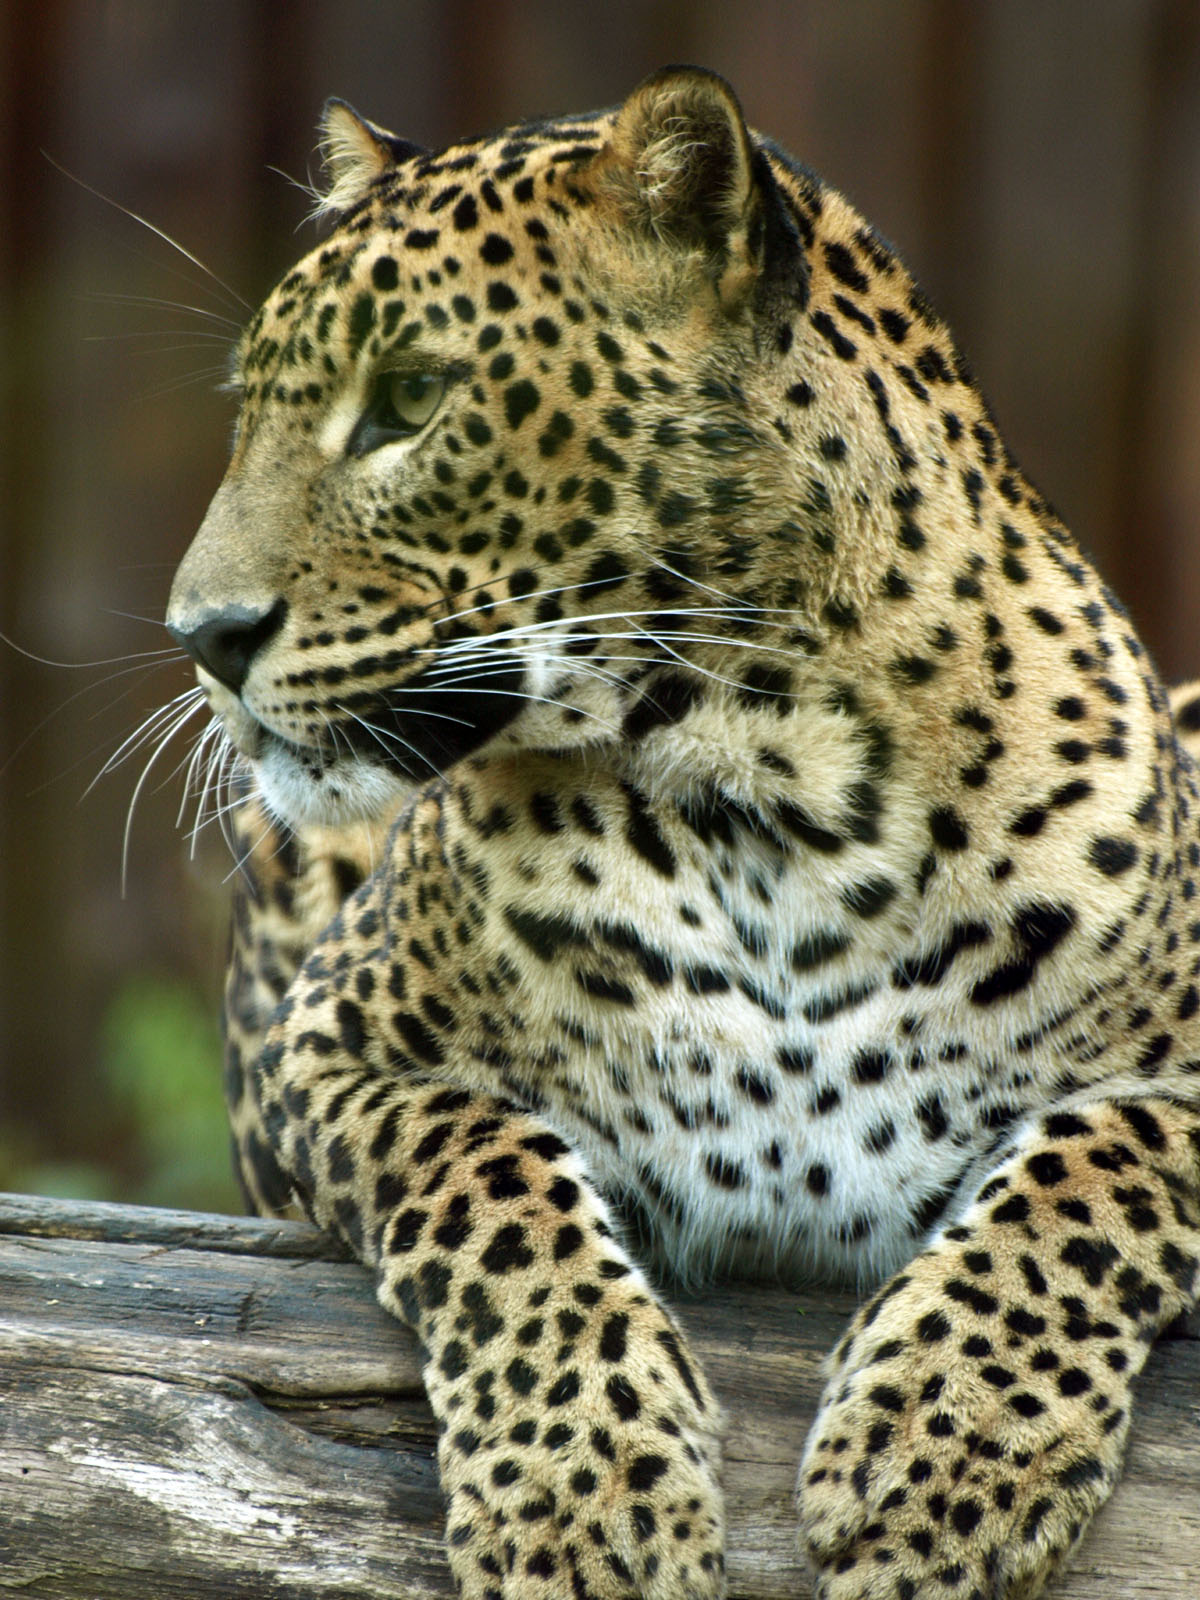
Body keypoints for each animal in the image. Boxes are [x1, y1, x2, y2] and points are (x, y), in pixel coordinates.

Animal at [165, 66, 1200, 1599]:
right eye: (249, 411)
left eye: (410, 397)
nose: (204, 638)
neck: (781, 796)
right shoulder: (330, 1050)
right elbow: (492, 1184)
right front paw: (582, 1498)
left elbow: (1087, 1176)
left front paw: (946, 1445)